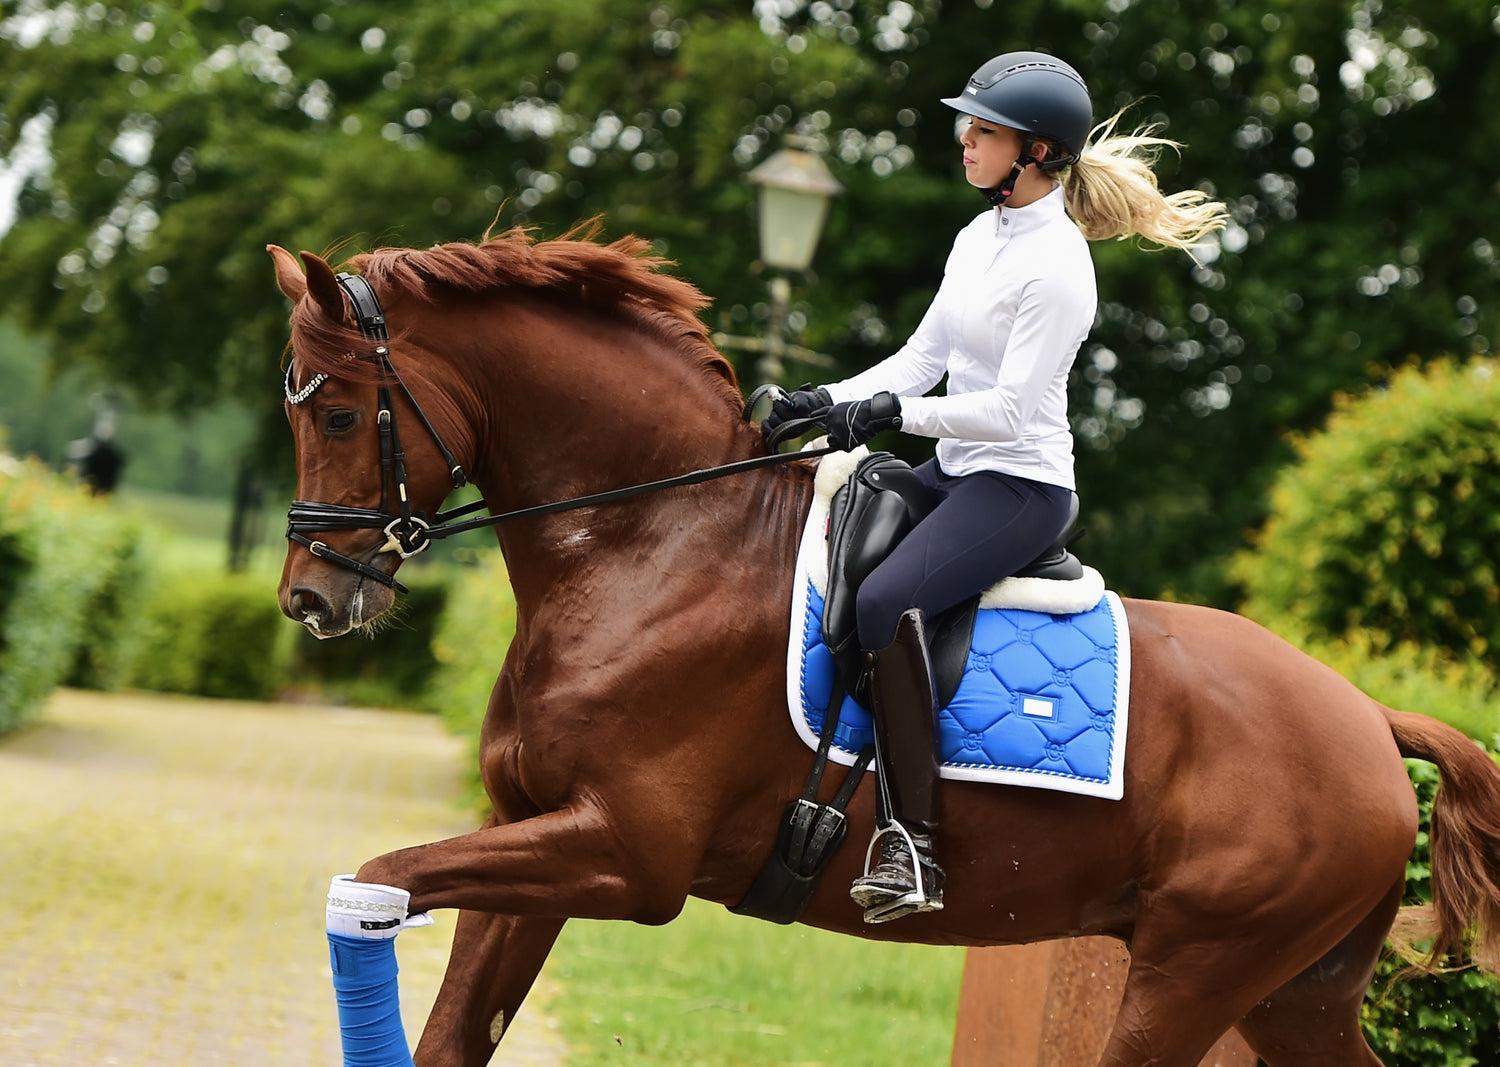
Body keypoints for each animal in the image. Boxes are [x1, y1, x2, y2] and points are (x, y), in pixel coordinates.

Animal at [270, 228, 1500, 1067]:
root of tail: (1368, 716)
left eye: (337, 413)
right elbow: (446, 1017)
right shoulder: (530, 830)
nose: (309, 599)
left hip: (1195, 970)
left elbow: (378, 875)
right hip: (1294, 992)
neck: (652, 543)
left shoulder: (626, 854)